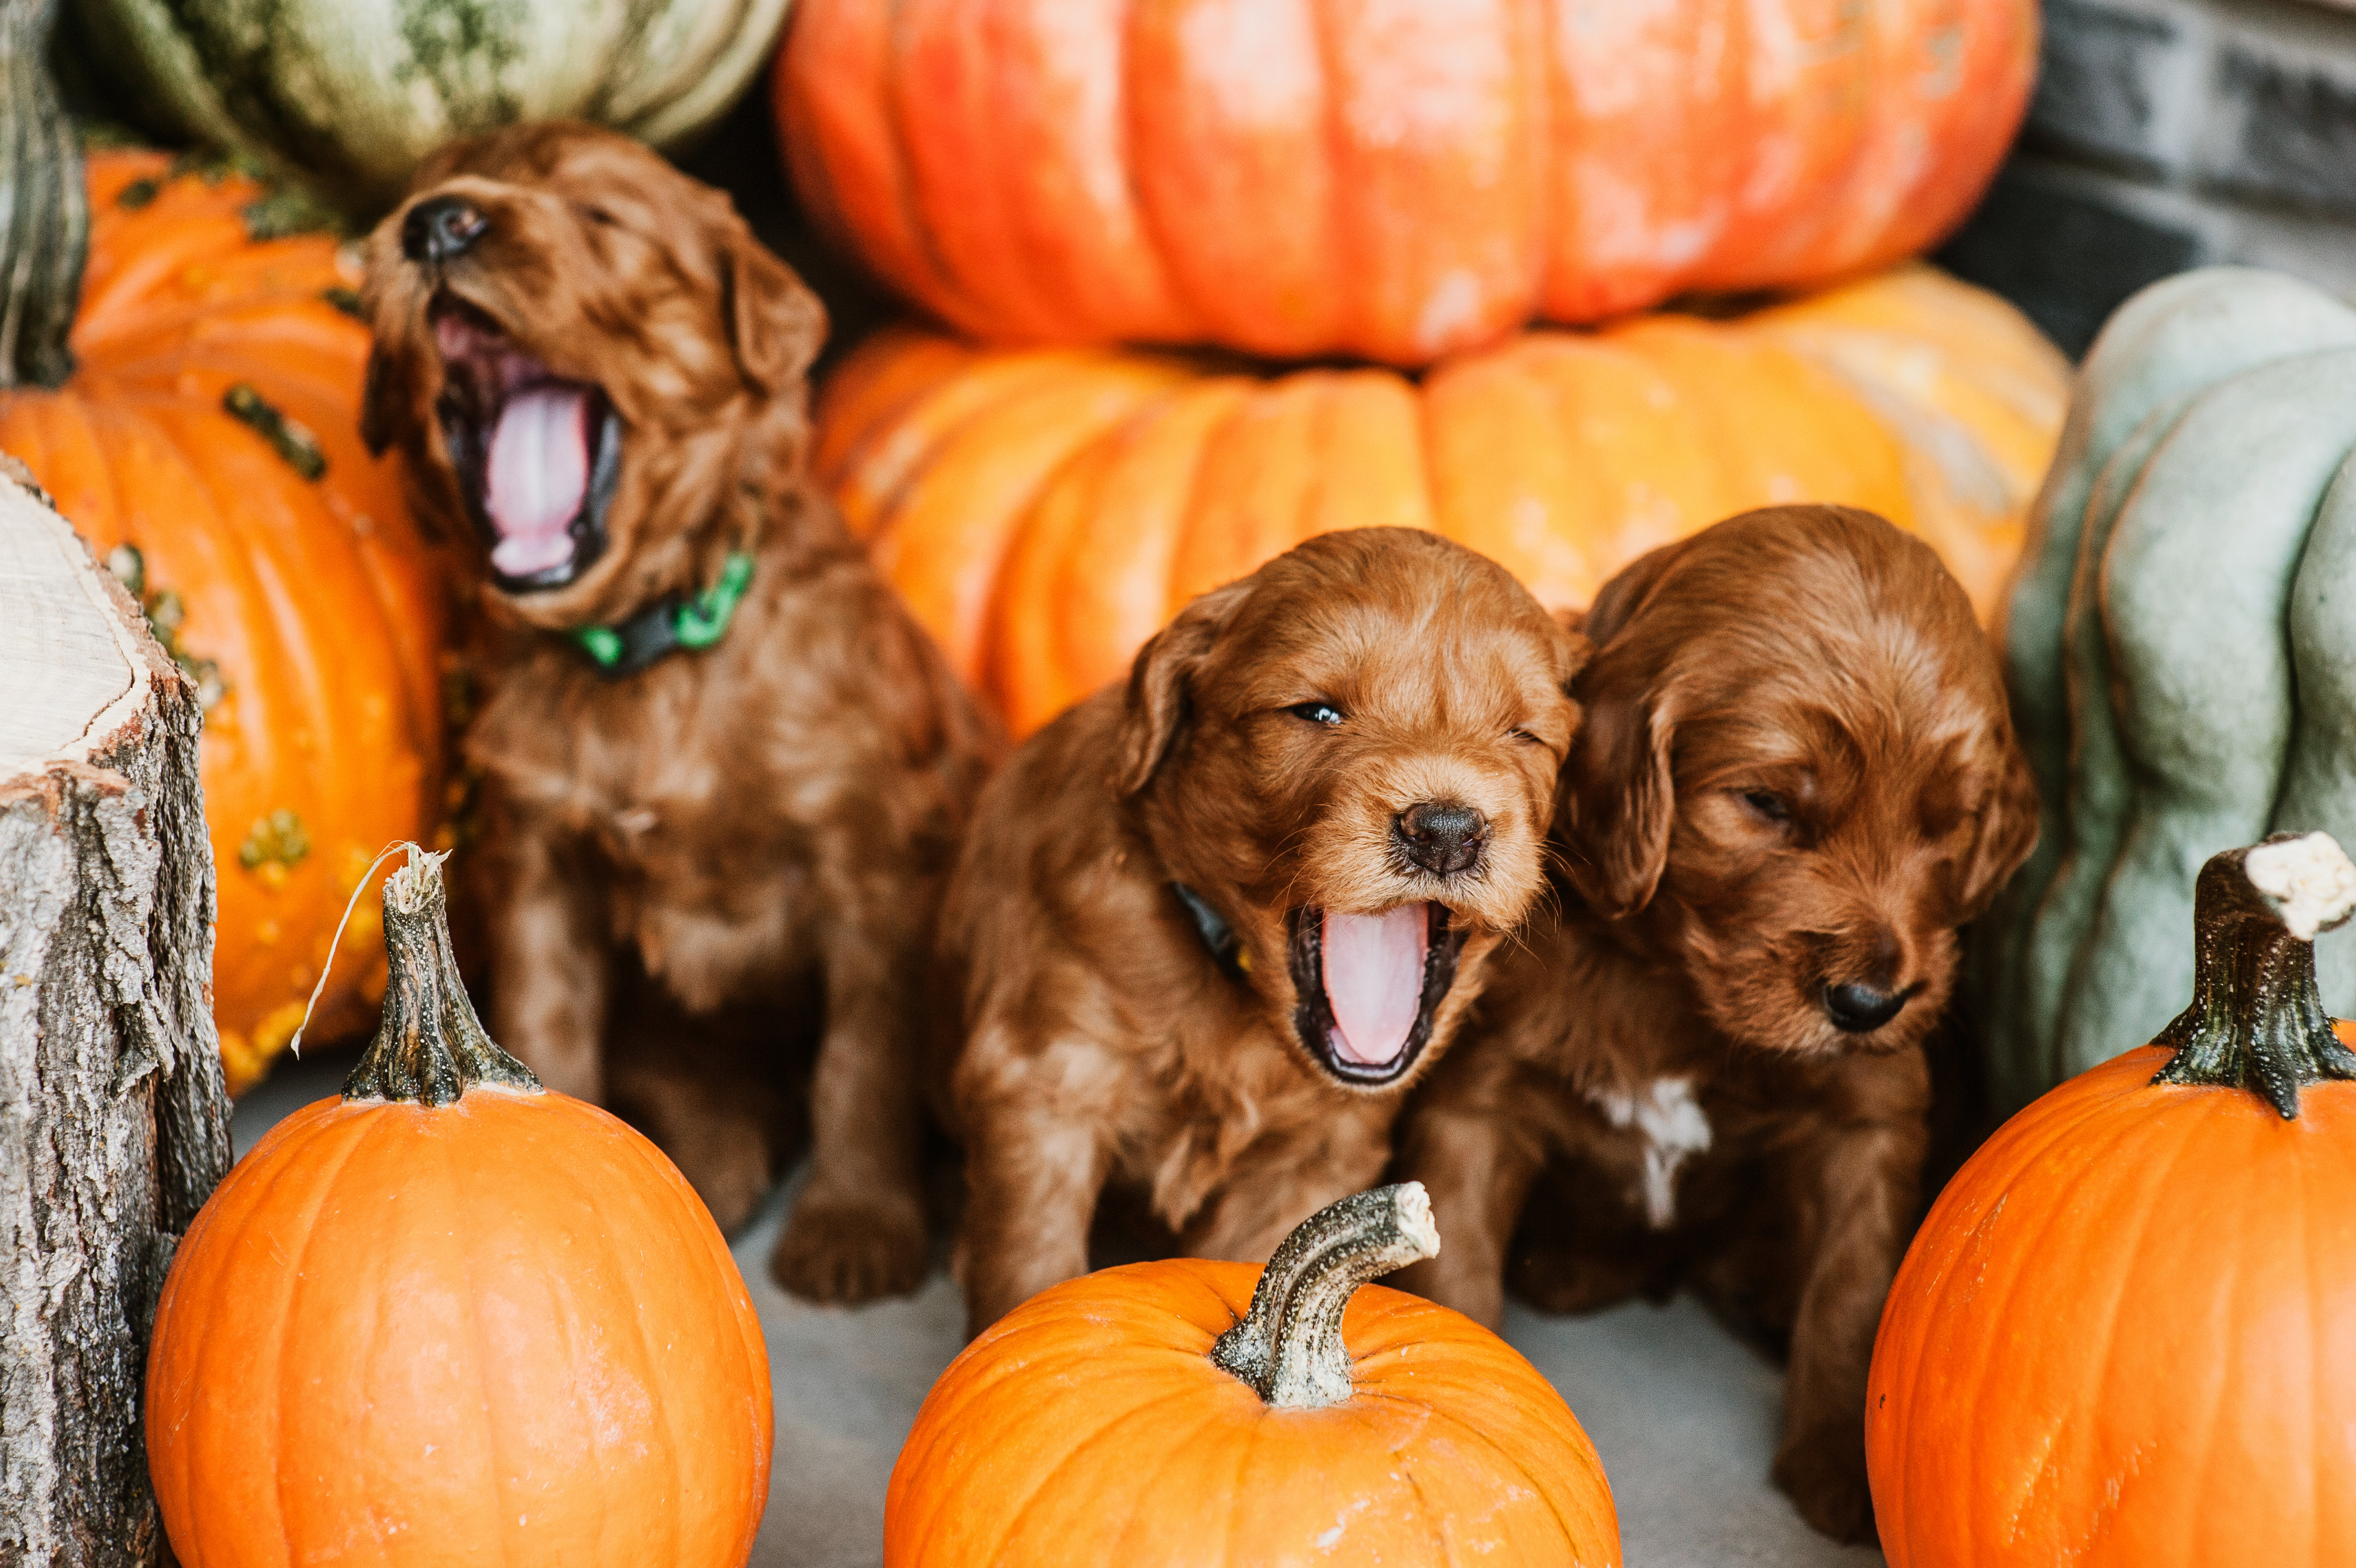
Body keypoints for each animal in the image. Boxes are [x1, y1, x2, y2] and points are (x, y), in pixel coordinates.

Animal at [360, 118, 1004, 1290]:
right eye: (419, 198)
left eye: (602, 218)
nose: (434, 225)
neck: (649, 658)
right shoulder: (539, 863)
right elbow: (546, 1019)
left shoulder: (875, 864)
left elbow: (864, 1060)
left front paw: (857, 1227)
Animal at [933, 527, 1583, 1328]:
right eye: (1317, 713)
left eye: (1523, 733)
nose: (1445, 831)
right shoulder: (1046, 1081)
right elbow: (1030, 1264)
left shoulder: (1317, 1154)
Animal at [1395, 504, 2045, 1535]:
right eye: (1767, 804)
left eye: (1947, 824)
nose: (1869, 1004)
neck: (1674, 991)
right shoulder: (1474, 1104)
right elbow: (1451, 1271)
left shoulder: (1871, 1116)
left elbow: (1857, 1285)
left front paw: (1842, 1465)